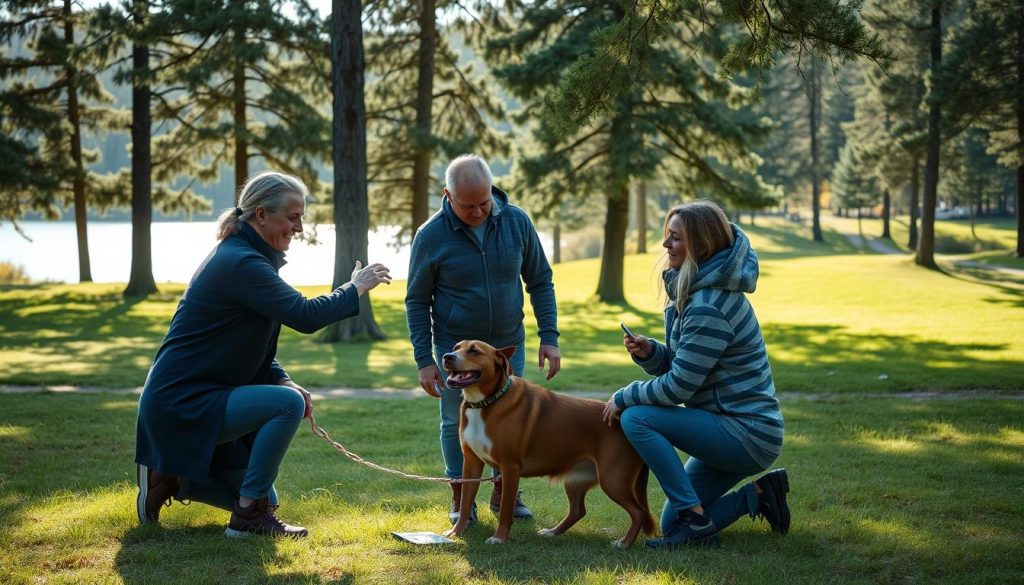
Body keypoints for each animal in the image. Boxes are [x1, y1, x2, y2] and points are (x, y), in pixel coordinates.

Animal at [436, 340, 651, 549]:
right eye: (456, 347)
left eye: (474, 351)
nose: (447, 356)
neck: (486, 403)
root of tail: (620, 419)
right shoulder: (471, 464)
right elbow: (465, 504)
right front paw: (456, 532)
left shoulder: (510, 468)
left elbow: (505, 509)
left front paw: (499, 538)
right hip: (576, 479)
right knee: (578, 511)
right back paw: (553, 532)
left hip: (613, 480)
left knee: (639, 512)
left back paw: (624, 543)